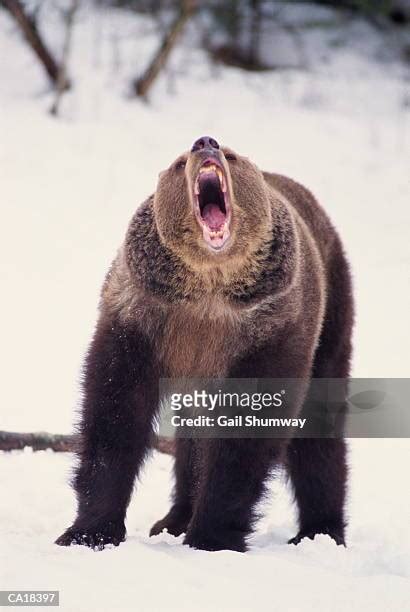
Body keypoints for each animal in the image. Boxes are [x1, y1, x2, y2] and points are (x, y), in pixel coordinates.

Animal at [56, 136, 354, 552]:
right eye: (179, 162)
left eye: (231, 155)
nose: (205, 142)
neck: (208, 287)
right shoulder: (142, 320)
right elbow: (115, 413)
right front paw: (89, 531)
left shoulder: (269, 333)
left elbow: (245, 435)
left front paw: (212, 536)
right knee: (191, 440)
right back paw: (174, 518)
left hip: (332, 316)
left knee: (319, 431)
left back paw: (320, 530)